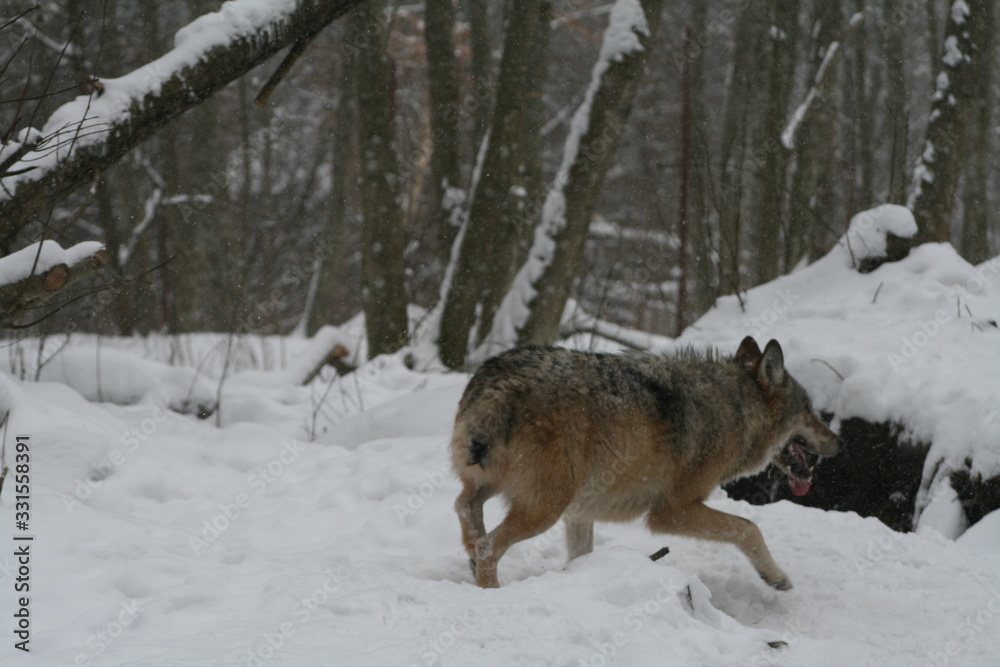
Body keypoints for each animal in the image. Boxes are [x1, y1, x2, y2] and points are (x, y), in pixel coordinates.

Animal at [450, 336, 840, 590]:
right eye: (809, 410)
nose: (841, 442)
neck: (733, 409)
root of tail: (498, 380)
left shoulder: (580, 512)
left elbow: (580, 556)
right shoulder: (671, 511)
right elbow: (748, 528)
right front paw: (775, 576)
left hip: (502, 488)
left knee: (464, 507)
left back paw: (469, 556)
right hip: (545, 507)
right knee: (487, 547)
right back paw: (489, 590)